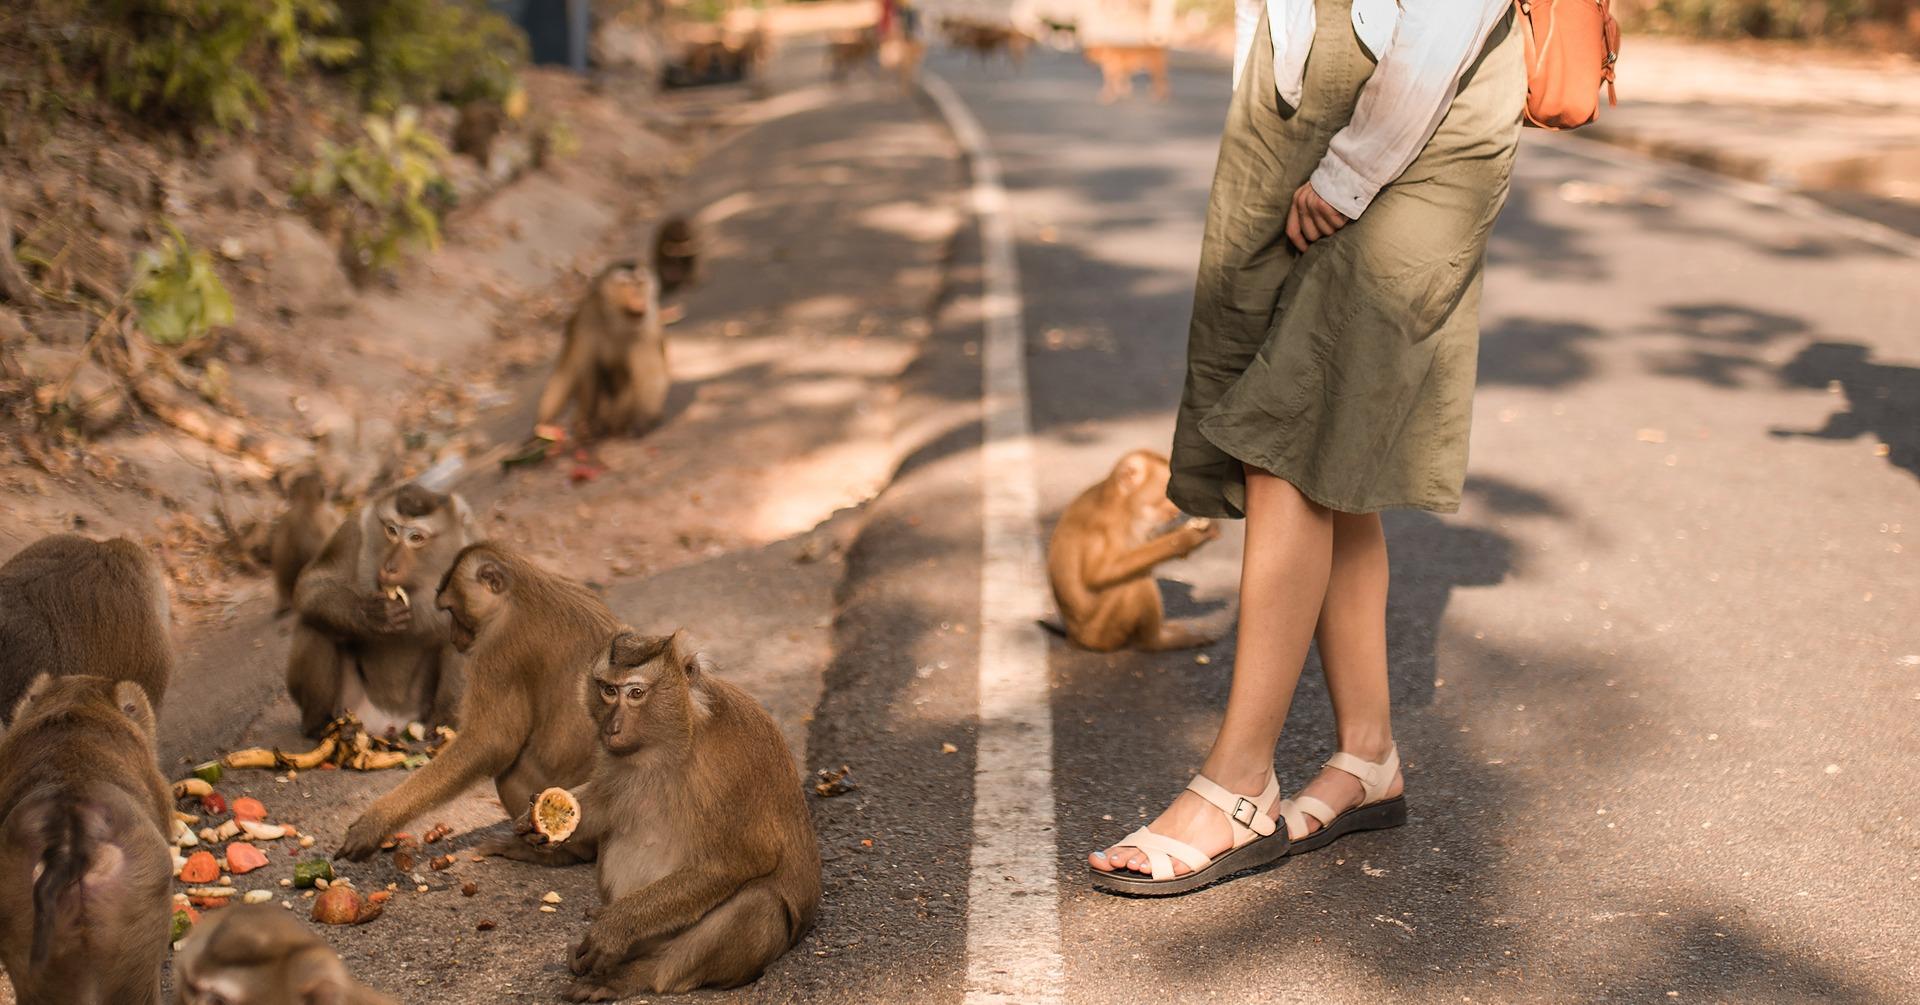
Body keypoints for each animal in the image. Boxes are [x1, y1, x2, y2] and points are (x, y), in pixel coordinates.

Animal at [285, 483, 474, 739]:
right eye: (391, 530)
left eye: (416, 537)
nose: (389, 567)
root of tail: (388, 723)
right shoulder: (354, 530)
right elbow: (311, 585)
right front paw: (372, 615)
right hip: (352, 704)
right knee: (313, 623)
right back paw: (321, 725)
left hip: (417, 707)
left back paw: (443, 723)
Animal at [334, 542, 620, 860]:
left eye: (452, 609)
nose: (453, 638)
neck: (523, 589)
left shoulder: (498, 649)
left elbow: (490, 743)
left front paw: (376, 822)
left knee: (510, 768)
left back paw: (561, 854)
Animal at [478, 630, 821, 1000]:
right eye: (608, 690)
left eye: (636, 693)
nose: (612, 728)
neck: (676, 739)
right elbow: (606, 802)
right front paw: (534, 830)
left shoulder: (732, 765)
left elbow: (738, 861)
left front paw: (616, 927)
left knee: (760, 903)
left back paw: (635, 974)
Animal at [533, 255, 671, 441]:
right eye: (627, 285)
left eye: (640, 283)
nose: (639, 296)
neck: (618, 320)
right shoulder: (587, 318)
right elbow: (579, 370)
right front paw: (582, 422)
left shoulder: (648, 324)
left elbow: (651, 373)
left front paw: (641, 421)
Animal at [1046, 450, 1222, 652]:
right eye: (1167, 493)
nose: (1177, 510)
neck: (1122, 504)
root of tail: (1074, 637)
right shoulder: (1104, 528)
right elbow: (1098, 574)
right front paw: (1188, 539)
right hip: (1102, 633)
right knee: (1135, 581)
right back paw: (1156, 641)